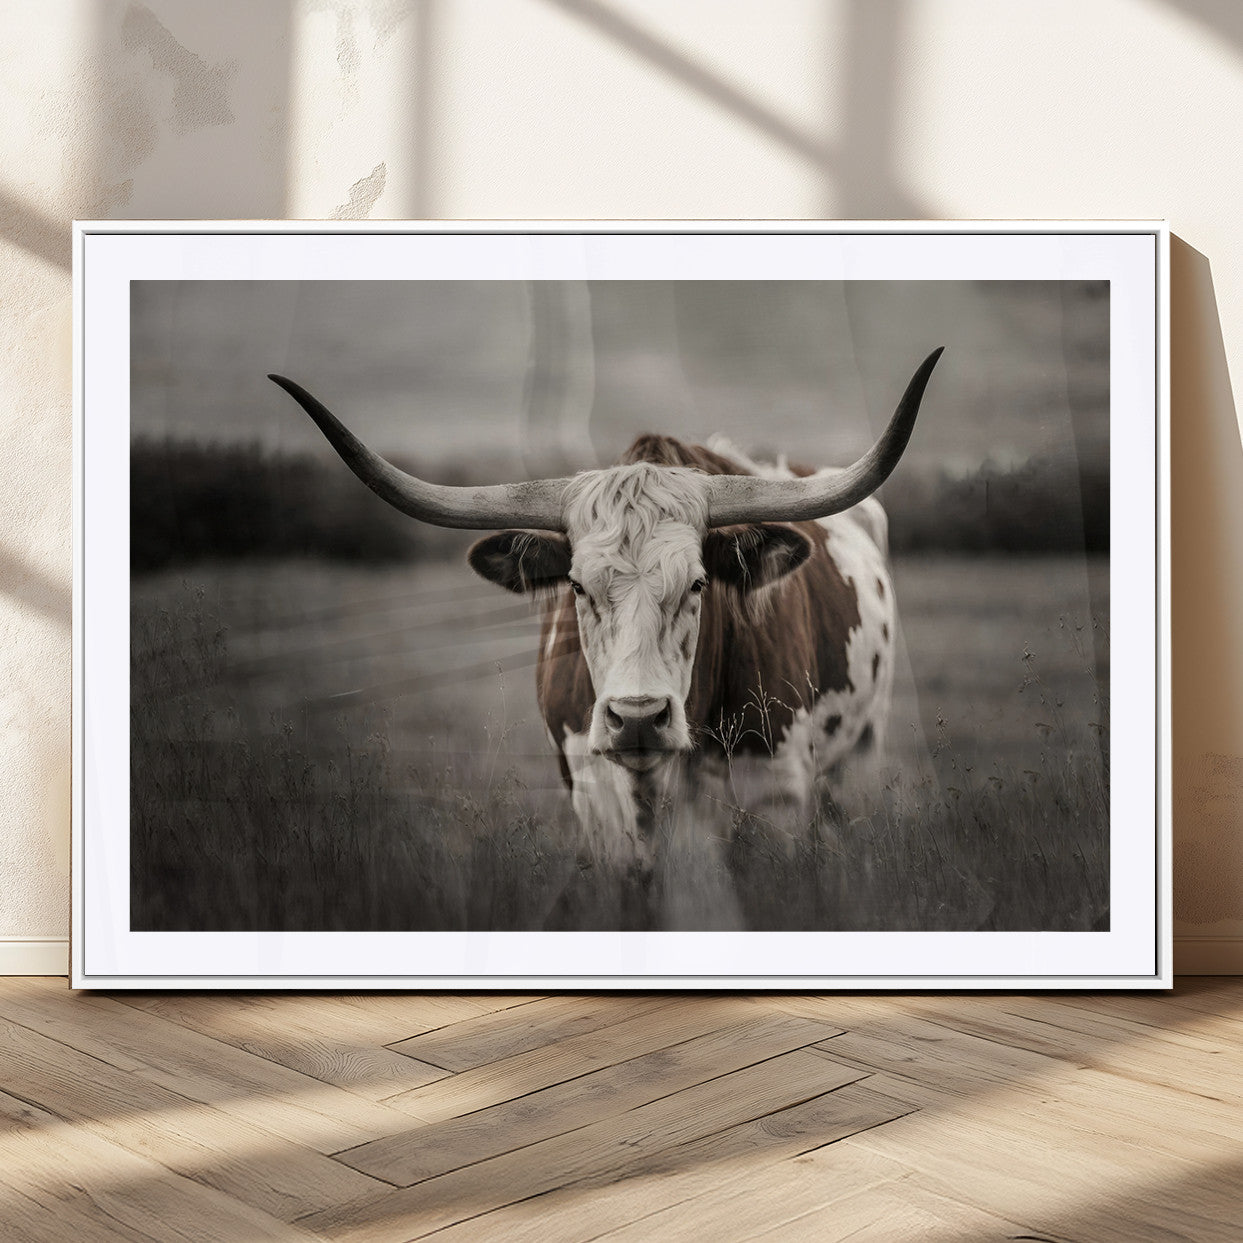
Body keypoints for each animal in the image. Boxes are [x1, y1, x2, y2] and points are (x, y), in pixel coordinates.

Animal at [268, 347, 942, 928]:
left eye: (699, 583)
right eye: (576, 585)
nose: (637, 717)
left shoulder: (776, 791)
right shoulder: (597, 805)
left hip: (856, 760)